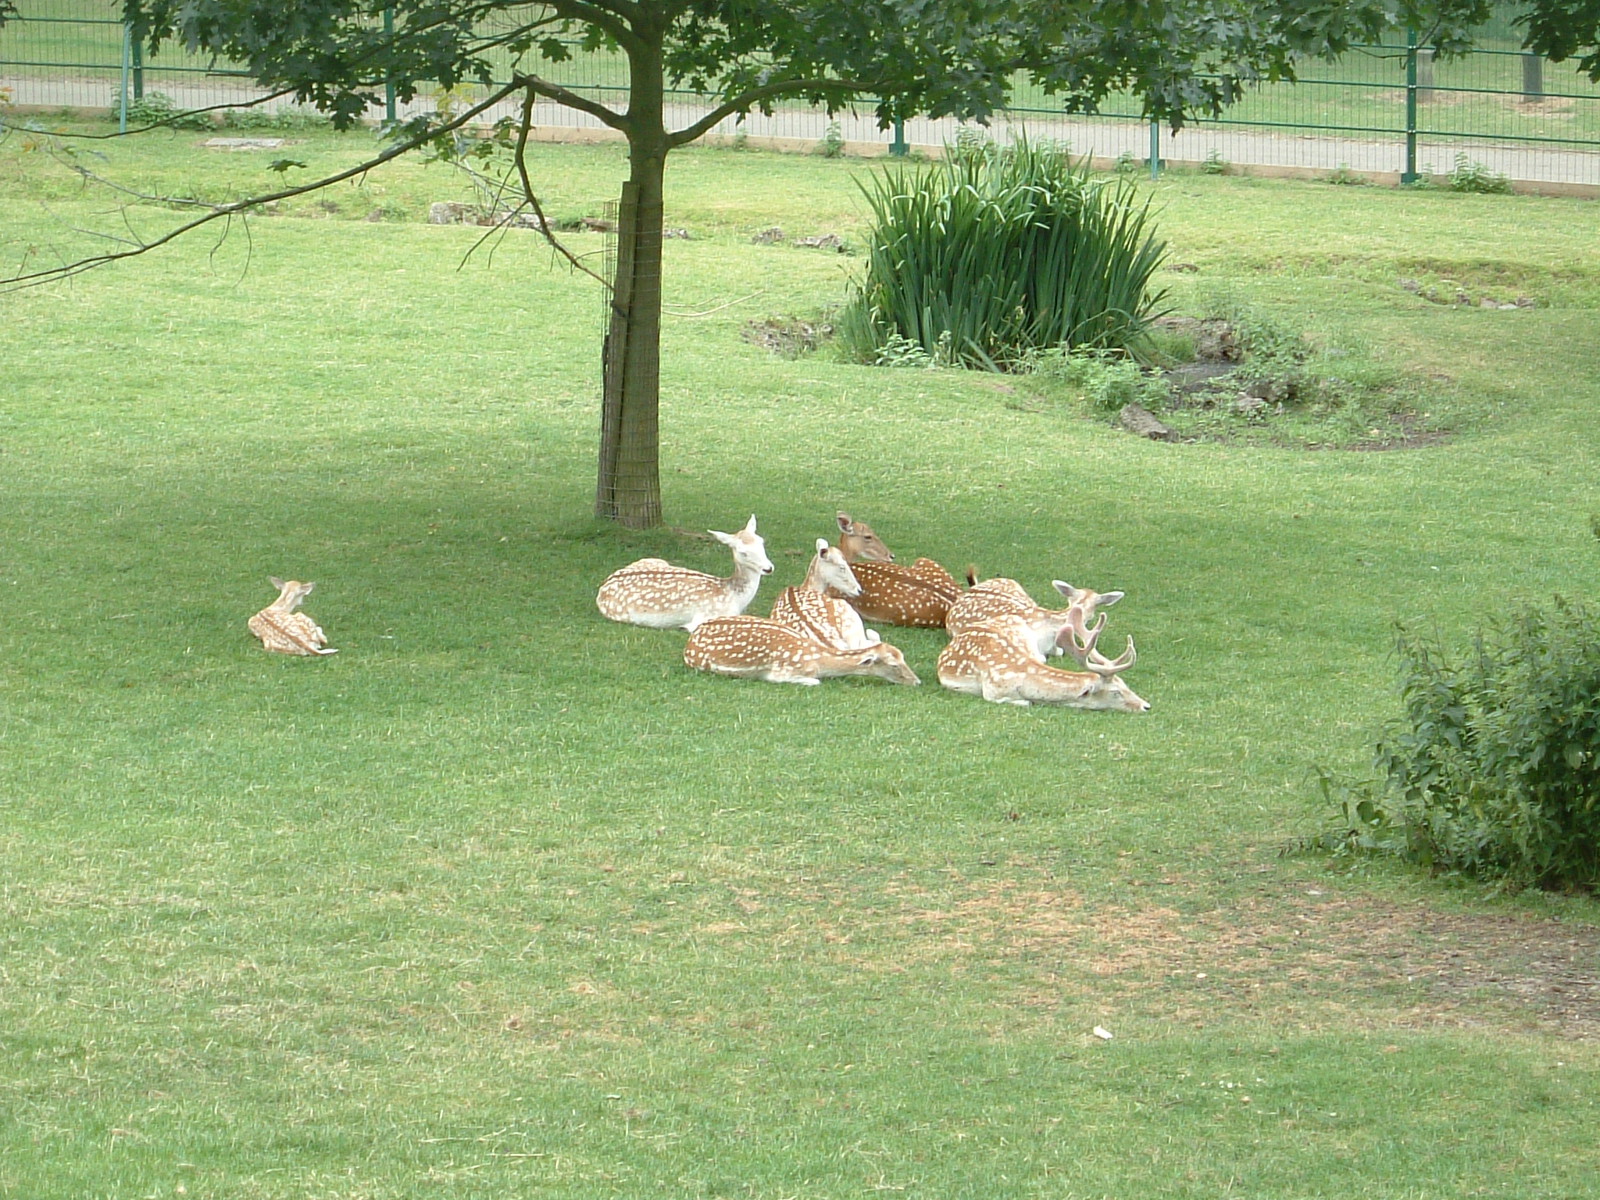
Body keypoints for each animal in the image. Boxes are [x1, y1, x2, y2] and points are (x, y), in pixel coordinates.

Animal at [598, 512, 777, 633]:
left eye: (761, 541)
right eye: (742, 552)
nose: (768, 568)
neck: (735, 598)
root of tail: (603, 585)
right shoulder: (704, 617)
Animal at [934, 604, 1152, 710]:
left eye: (1126, 685)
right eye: (1116, 692)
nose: (1146, 706)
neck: (1022, 675)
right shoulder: (992, 691)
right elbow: (1023, 702)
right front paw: (1029, 702)